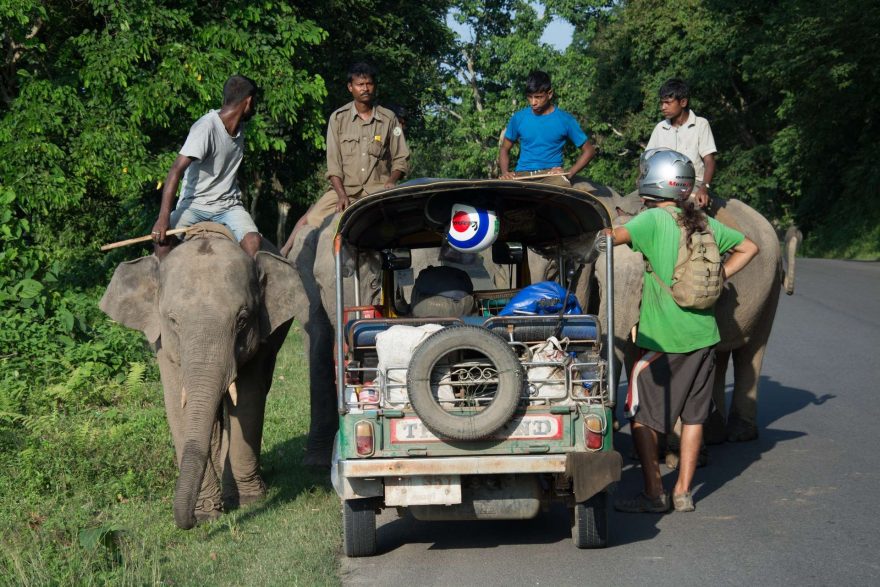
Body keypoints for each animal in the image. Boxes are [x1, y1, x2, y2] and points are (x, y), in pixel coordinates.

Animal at [100, 223, 300, 532]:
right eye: (172, 321)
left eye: (242, 320)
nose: (189, 522)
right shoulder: (162, 344)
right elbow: (176, 406)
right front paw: (208, 513)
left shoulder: (260, 334)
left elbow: (248, 400)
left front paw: (247, 502)